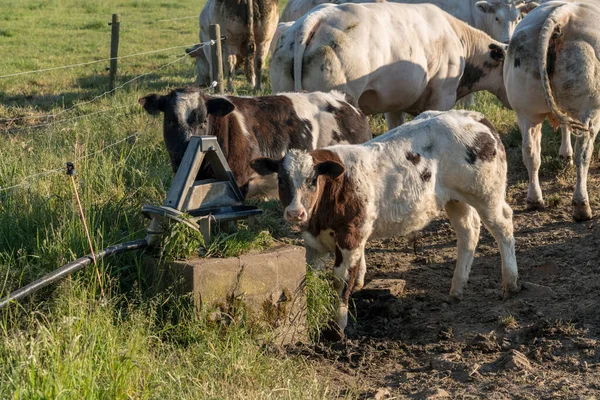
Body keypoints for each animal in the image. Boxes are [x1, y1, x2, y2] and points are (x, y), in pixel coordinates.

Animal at [251, 108, 516, 332]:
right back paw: (457, 288)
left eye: (312, 180)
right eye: (281, 180)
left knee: (503, 225)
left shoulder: (350, 237)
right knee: (468, 231)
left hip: (486, 194)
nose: (295, 212)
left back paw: (510, 283)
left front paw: (337, 327)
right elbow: (308, 280)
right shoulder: (313, 244)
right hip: (455, 200)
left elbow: (340, 281)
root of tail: (473, 117)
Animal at [504, 0, 600, 220]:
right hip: (589, 110)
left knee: (530, 151)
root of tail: (563, 13)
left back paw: (534, 200)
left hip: (526, 111)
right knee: (584, 153)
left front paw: (565, 155)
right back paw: (581, 205)